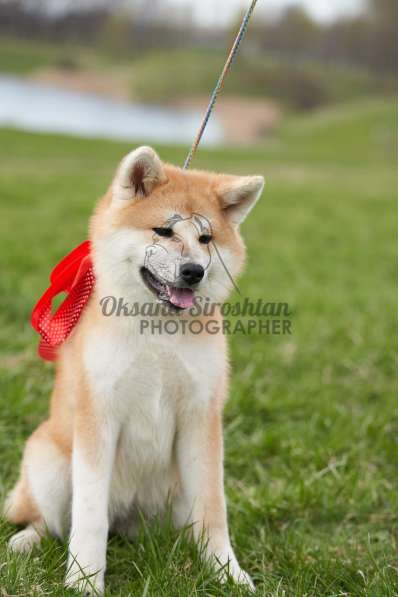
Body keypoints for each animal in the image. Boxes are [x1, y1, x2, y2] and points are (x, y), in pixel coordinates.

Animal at [3, 146, 264, 592]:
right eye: (163, 232)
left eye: (206, 238)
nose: (194, 272)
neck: (156, 331)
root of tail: (126, 519)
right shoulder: (98, 417)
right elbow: (89, 519)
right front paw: (84, 582)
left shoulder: (202, 417)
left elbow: (214, 513)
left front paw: (228, 574)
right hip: (49, 462)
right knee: (48, 522)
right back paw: (25, 541)